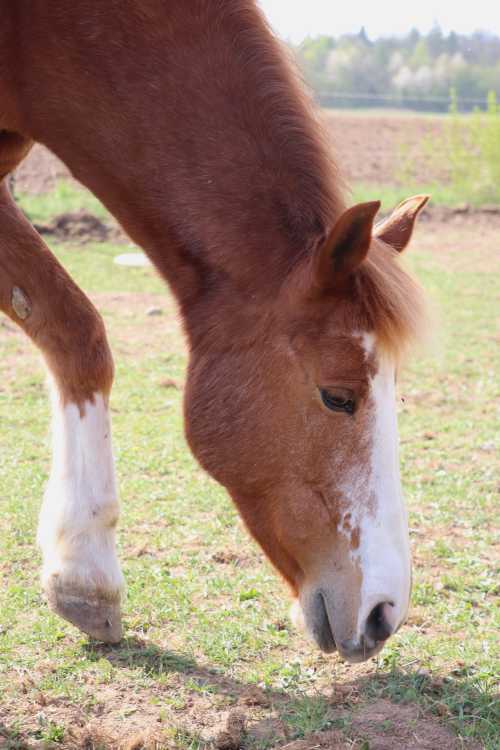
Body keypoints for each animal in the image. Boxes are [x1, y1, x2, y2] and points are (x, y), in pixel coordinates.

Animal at [1, 2, 428, 668]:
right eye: (337, 396)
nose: (384, 613)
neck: (41, 34)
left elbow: (69, 325)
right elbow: (73, 327)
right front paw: (86, 571)